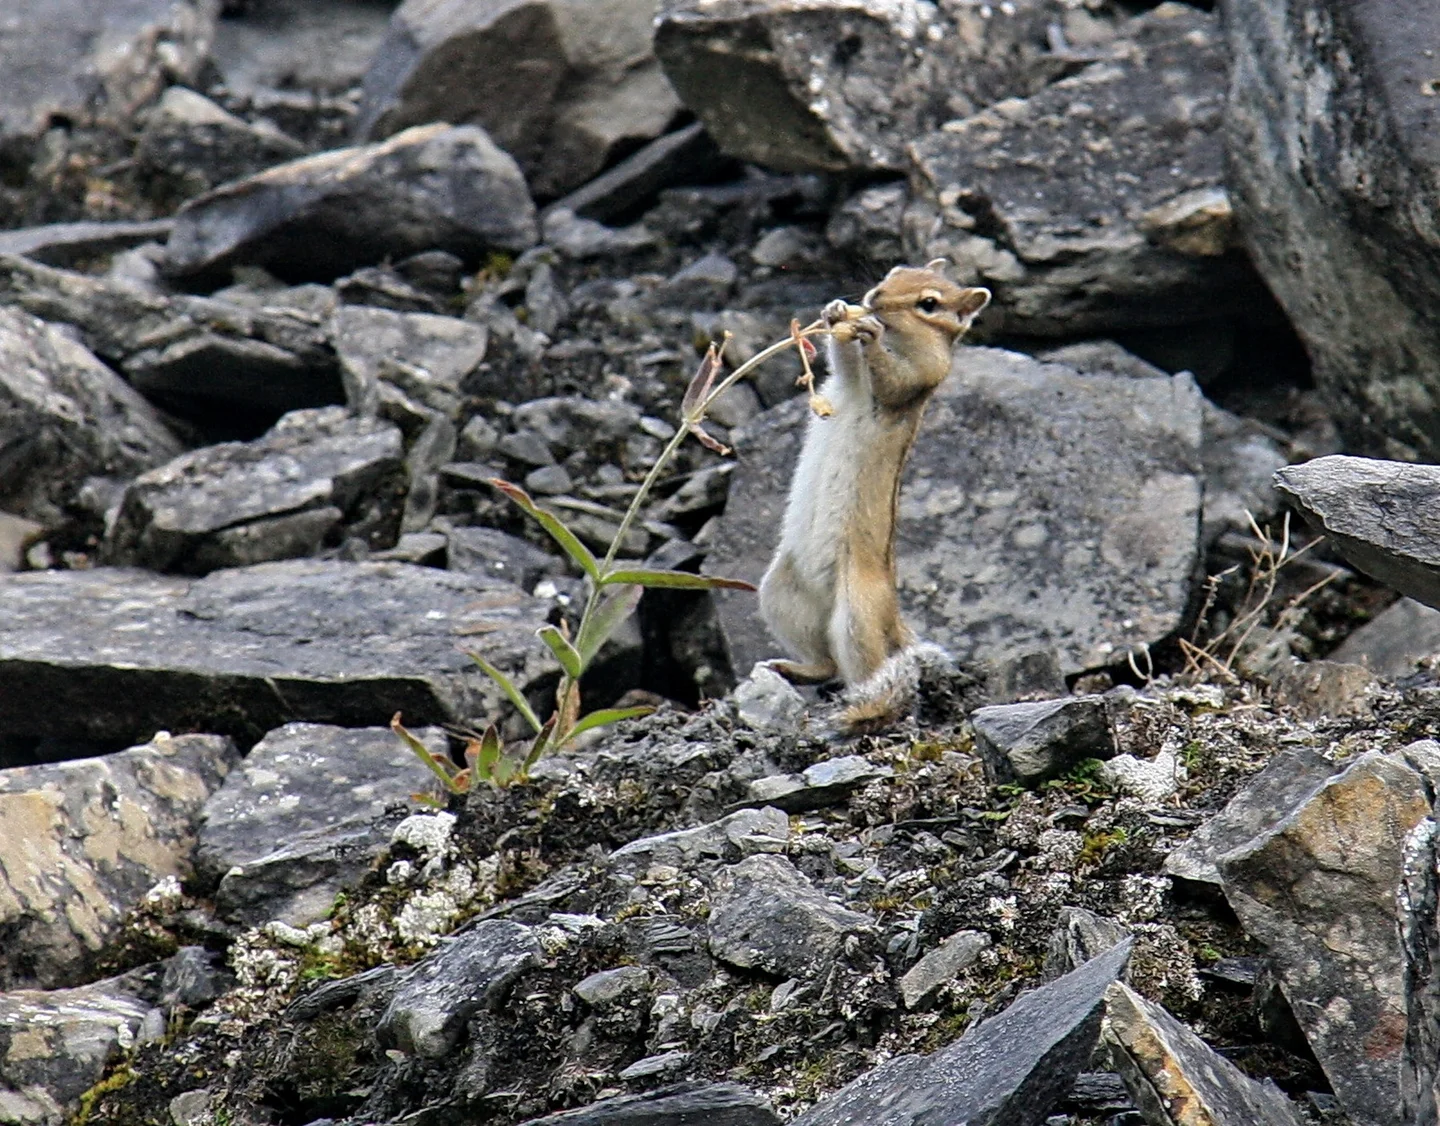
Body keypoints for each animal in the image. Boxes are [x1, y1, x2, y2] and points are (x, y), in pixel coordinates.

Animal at [757, 260, 990, 715]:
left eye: (929, 303)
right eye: (895, 271)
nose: (874, 298)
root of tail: (894, 618)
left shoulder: (921, 375)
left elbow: (892, 379)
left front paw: (870, 333)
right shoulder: (849, 377)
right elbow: (843, 362)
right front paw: (835, 312)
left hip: (856, 616)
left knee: (864, 667)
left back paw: (863, 704)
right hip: (779, 591)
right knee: (825, 663)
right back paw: (792, 668)